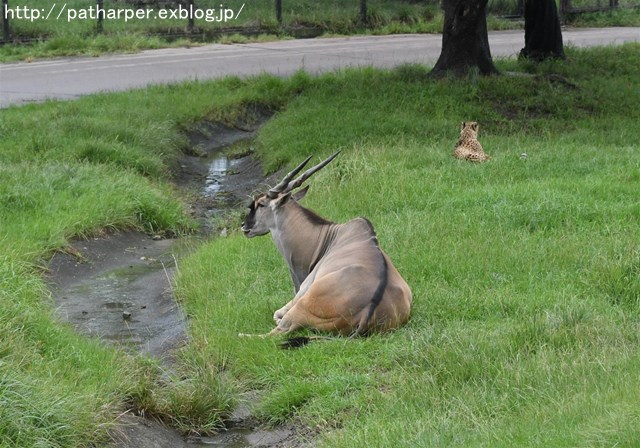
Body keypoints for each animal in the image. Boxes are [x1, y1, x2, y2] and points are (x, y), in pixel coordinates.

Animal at [241, 151, 416, 336]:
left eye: (261, 204)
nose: (244, 225)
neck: (329, 237)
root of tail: (368, 313)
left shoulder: (300, 292)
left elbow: (276, 314)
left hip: (300, 307)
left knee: (276, 332)